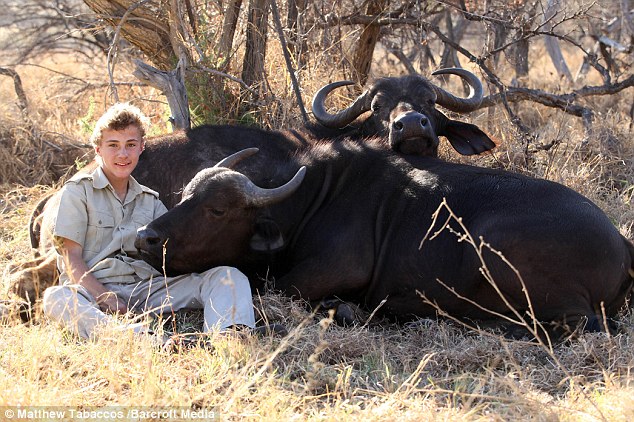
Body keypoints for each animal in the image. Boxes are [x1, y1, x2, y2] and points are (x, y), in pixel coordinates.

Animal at [135, 140, 632, 338]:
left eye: (217, 209)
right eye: (185, 195)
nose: (146, 237)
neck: (313, 204)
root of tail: (621, 242)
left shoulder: (326, 273)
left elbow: (283, 289)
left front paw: (347, 311)